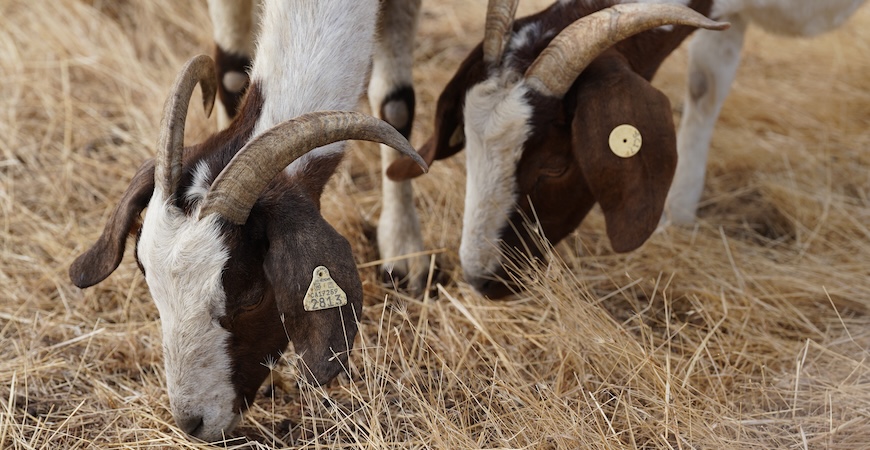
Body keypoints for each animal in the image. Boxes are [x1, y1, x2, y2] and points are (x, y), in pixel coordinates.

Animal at [388, 1, 728, 300]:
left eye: (555, 168)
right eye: (467, 144)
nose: (479, 279)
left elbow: (706, 85)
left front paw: (680, 214)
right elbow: (705, 85)